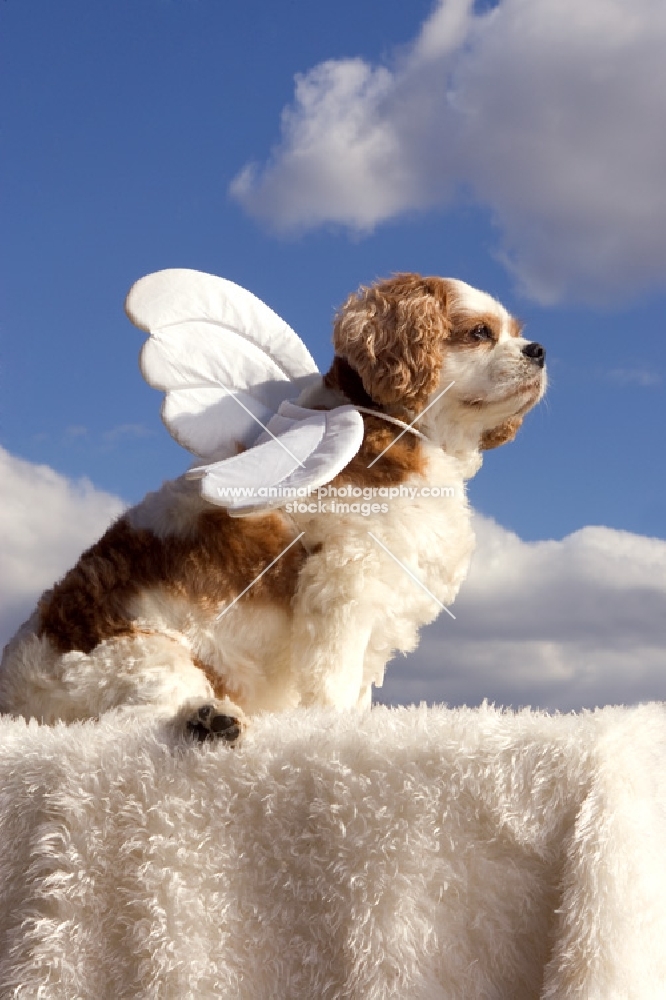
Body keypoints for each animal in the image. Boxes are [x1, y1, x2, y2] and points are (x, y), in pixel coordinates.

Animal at [0, 274, 544, 744]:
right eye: (479, 333)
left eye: (516, 333)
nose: (538, 350)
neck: (400, 432)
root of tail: (12, 696)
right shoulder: (345, 586)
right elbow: (336, 682)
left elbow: (360, 691)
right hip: (142, 657)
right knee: (119, 726)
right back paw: (209, 722)